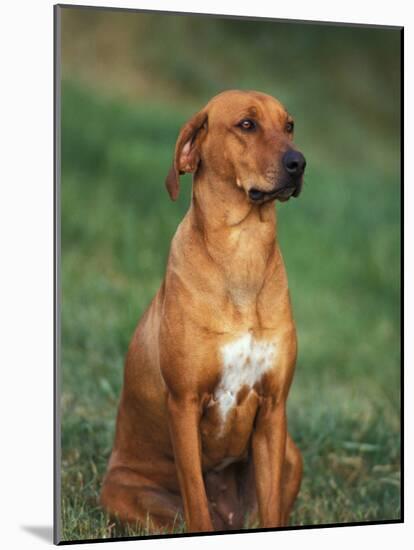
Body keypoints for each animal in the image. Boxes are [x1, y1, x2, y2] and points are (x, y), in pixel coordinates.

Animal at [101, 89, 306, 536]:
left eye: (289, 126)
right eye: (247, 124)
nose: (298, 163)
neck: (242, 251)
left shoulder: (273, 408)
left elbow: (271, 509)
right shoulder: (184, 404)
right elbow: (195, 500)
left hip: (291, 452)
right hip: (122, 494)